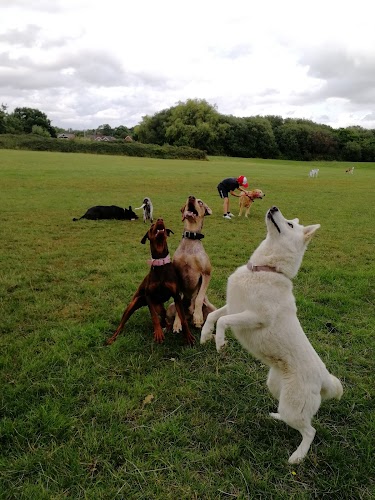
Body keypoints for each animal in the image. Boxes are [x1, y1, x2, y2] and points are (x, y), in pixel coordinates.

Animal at [106, 217, 194, 346]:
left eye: (162, 222)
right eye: (151, 225)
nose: (160, 219)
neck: (160, 262)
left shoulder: (176, 296)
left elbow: (182, 318)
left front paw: (188, 336)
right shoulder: (148, 295)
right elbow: (154, 317)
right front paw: (158, 333)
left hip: (160, 308)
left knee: (164, 319)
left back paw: (167, 327)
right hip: (134, 304)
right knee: (121, 325)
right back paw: (113, 338)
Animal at [168, 195, 217, 332]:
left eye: (200, 202)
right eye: (187, 199)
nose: (191, 197)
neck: (191, 237)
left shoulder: (206, 273)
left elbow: (199, 298)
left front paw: (198, 317)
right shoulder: (176, 275)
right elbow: (179, 304)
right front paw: (177, 324)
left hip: (213, 309)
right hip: (169, 308)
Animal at [203, 205, 344, 462]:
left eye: (289, 224)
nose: (274, 207)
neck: (265, 269)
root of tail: (324, 378)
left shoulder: (255, 317)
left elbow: (224, 321)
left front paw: (220, 342)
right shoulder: (235, 306)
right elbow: (213, 316)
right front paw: (205, 335)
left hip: (293, 405)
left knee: (310, 430)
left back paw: (298, 455)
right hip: (275, 387)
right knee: (294, 419)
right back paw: (277, 417)